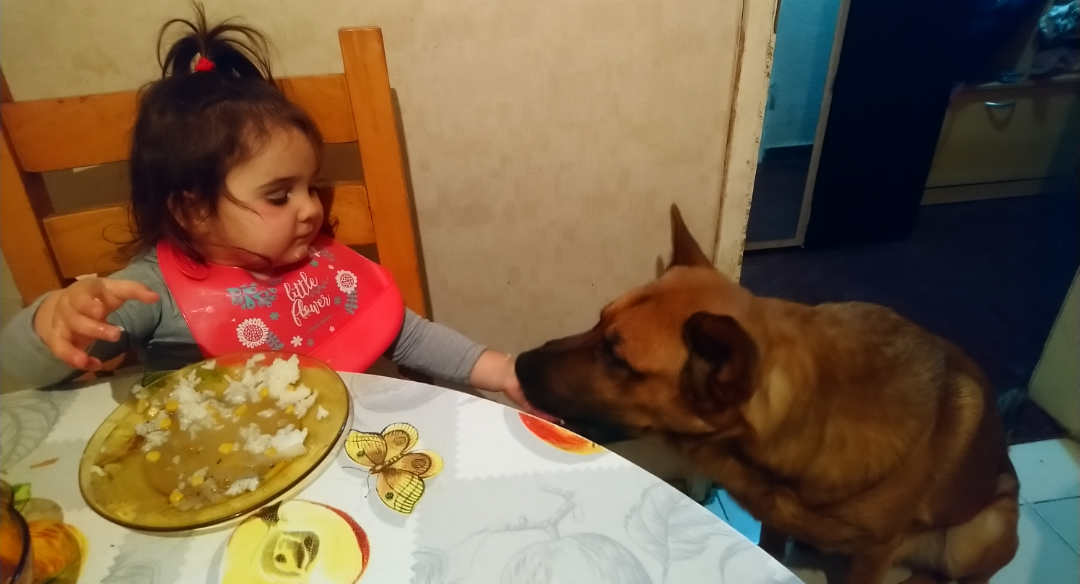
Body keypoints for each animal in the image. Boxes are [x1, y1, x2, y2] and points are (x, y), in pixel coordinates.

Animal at [515, 206, 1019, 584]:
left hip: (981, 532)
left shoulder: (875, 553)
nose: (518, 363)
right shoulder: (776, 520)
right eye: (598, 322)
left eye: (615, 357)